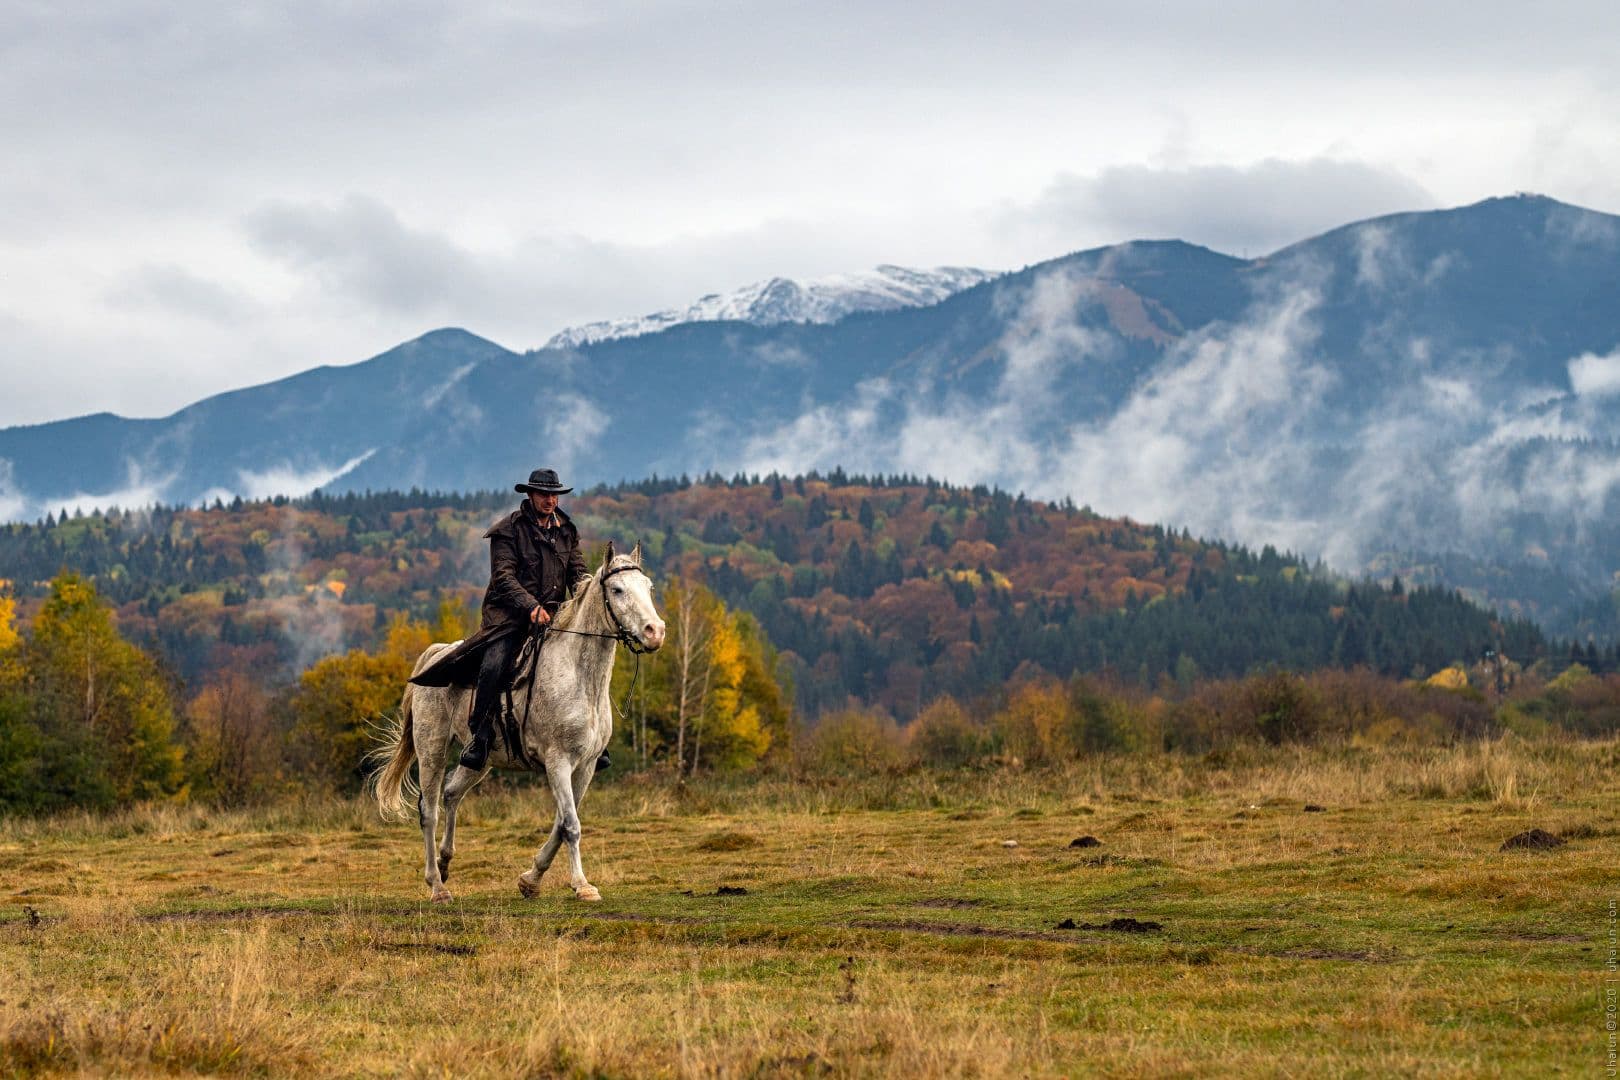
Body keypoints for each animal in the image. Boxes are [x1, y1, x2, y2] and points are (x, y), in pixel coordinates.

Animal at [372, 540, 664, 906]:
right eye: (617, 589)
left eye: (648, 587)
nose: (656, 632)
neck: (579, 676)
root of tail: (435, 653)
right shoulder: (557, 762)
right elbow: (571, 825)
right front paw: (582, 885)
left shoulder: (585, 766)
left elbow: (561, 823)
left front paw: (530, 880)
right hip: (431, 750)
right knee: (429, 811)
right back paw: (437, 885)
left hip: (479, 759)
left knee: (452, 793)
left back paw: (445, 861)